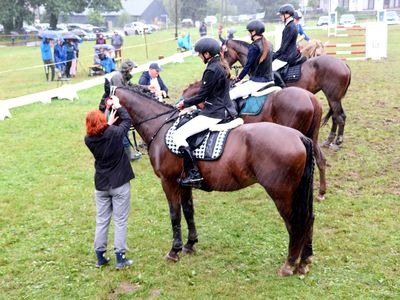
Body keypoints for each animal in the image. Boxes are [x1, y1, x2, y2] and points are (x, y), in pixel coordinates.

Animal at [115, 85, 316, 276]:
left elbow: (175, 214)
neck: (161, 126)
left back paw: (289, 265)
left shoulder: (168, 182)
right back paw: (304, 262)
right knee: (308, 219)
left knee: (295, 223)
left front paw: (174, 251)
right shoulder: (184, 184)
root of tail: (298, 136)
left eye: (108, 104)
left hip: (282, 194)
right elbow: (188, 211)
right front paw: (190, 244)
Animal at [220, 37, 352, 150]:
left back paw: (337, 142)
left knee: (339, 117)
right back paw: (330, 141)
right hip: (333, 98)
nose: (225, 71)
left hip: (333, 98)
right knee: (337, 116)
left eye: (225, 53)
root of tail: (344, 64)